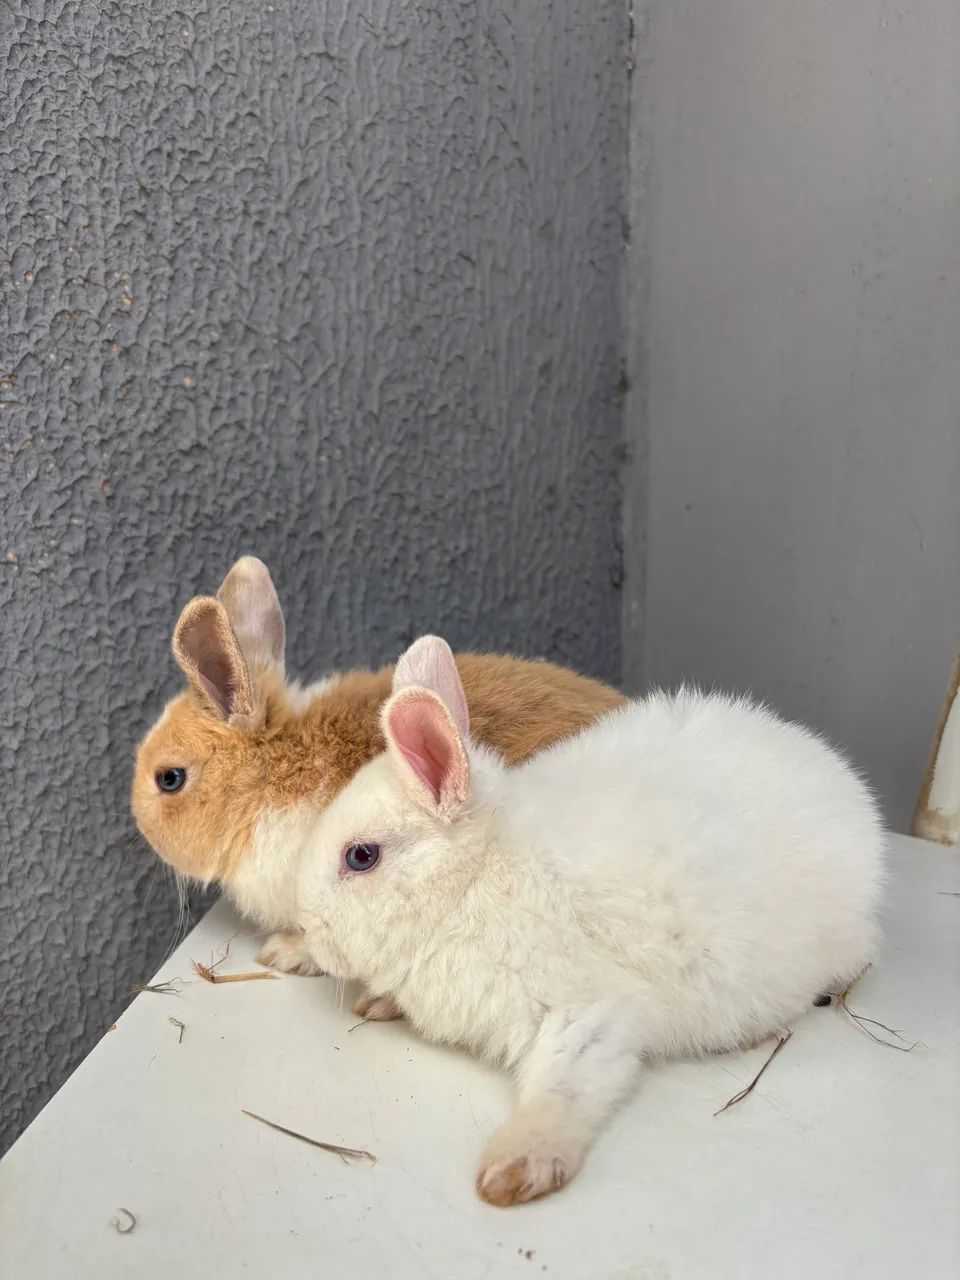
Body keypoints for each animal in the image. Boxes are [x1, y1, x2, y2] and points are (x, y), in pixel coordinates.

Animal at [271, 635, 885, 1207]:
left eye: (361, 856)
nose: (307, 924)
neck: (475, 881)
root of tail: (849, 790)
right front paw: (348, 985)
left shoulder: (588, 1013)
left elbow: (564, 1087)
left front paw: (514, 1169)